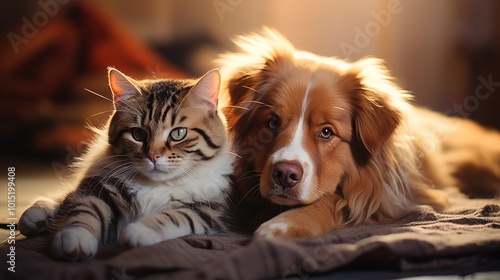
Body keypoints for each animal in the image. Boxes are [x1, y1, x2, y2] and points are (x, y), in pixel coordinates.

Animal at [17, 67, 232, 260]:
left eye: (178, 133)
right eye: (138, 134)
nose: (153, 156)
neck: (157, 185)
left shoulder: (208, 211)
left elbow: (174, 217)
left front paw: (138, 232)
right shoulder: (100, 190)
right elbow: (83, 211)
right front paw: (75, 239)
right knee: (69, 197)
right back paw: (38, 214)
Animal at [217, 28, 500, 238]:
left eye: (327, 132)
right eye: (273, 122)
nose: (286, 174)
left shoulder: (392, 199)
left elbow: (331, 199)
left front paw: (286, 224)